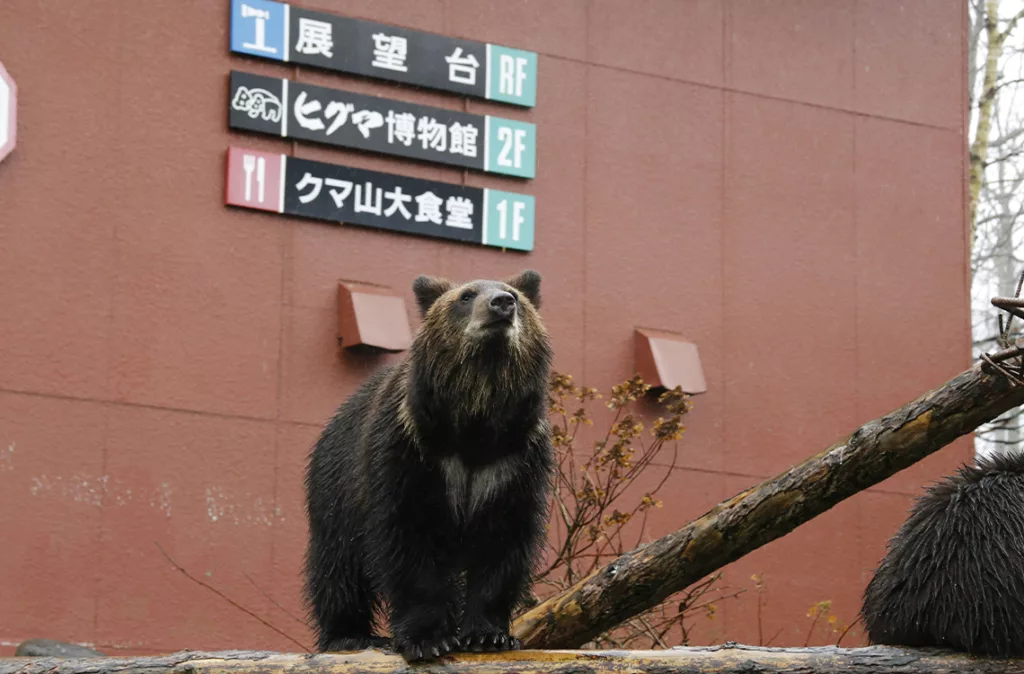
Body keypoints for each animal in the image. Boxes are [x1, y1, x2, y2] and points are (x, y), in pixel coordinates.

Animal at [303, 269, 554, 663]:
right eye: (466, 296)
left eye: (514, 294)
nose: (502, 304)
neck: (475, 422)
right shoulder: (411, 453)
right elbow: (408, 541)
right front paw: (427, 638)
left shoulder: (512, 463)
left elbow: (504, 544)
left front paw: (489, 634)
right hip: (335, 488)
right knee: (337, 566)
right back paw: (348, 634)